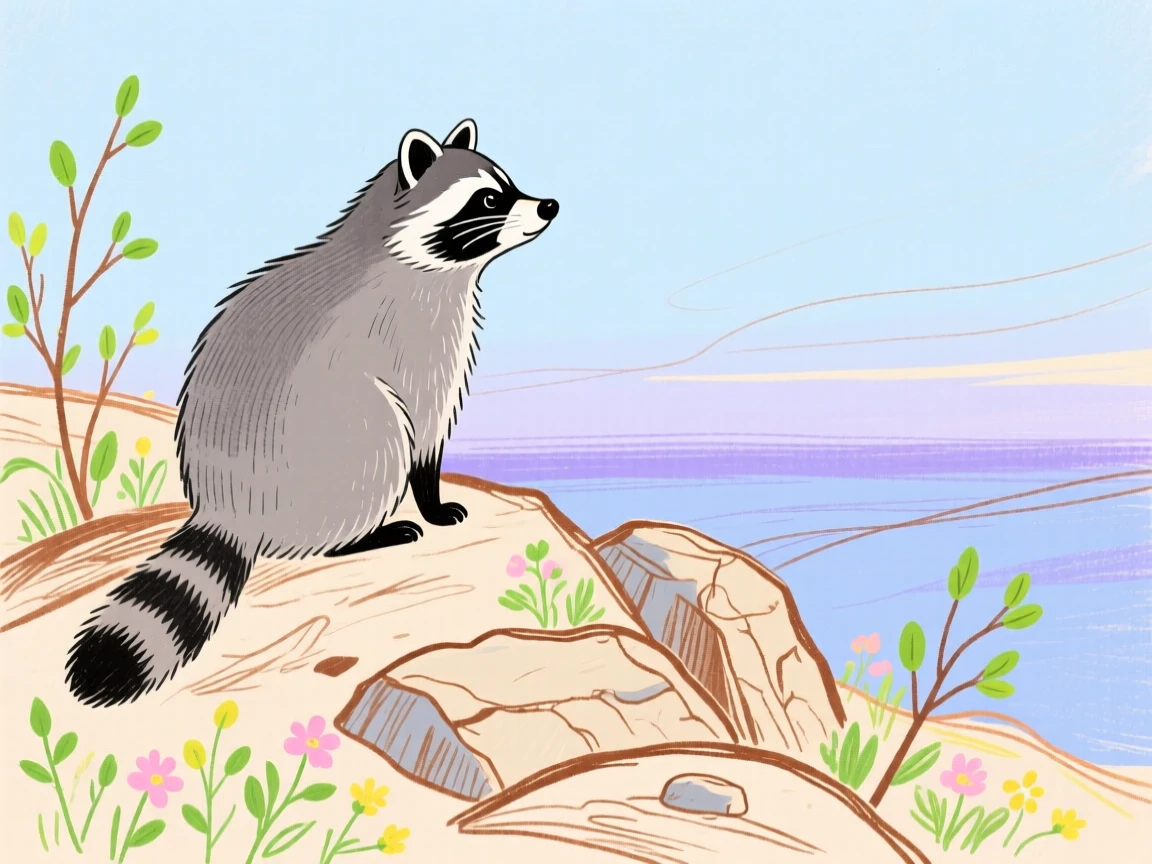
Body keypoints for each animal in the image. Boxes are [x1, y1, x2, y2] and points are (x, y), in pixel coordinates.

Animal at [65, 119, 559, 707]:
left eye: (509, 183)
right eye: (488, 199)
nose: (550, 205)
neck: (392, 245)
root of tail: (229, 504)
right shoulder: (415, 337)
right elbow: (424, 431)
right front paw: (432, 502)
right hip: (346, 441)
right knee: (382, 440)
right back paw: (367, 535)